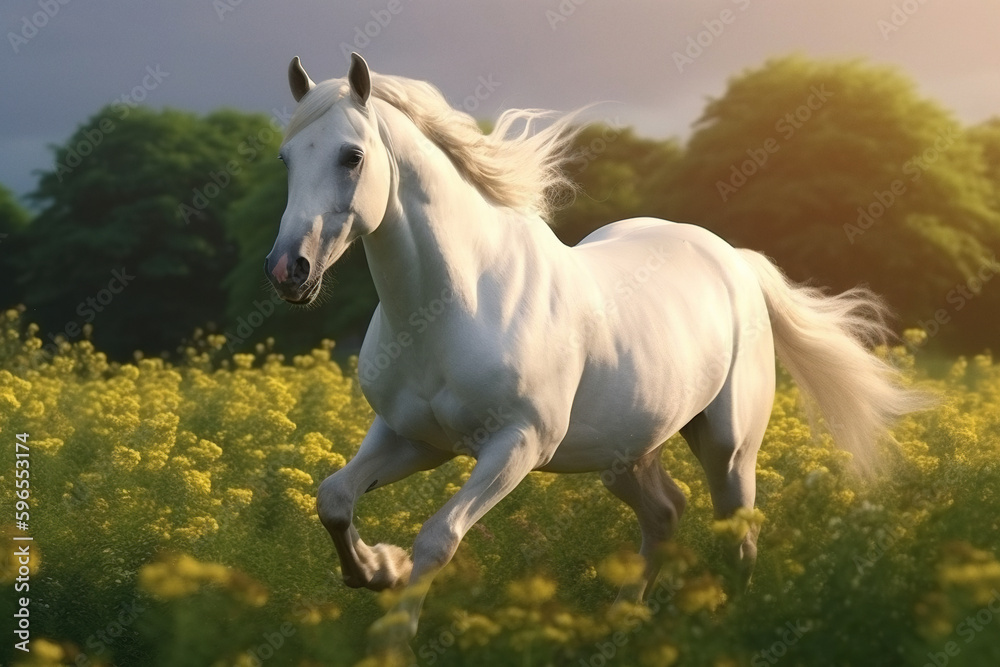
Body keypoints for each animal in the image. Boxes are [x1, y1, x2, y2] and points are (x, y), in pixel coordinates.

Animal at [264, 53, 927, 650]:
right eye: (286, 158)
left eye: (352, 156)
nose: (288, 271)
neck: (453, 307)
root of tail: (735, 260)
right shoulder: (412, 439)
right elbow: (333, 499)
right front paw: (379, 568)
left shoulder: (517, 444)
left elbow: (437, 538)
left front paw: (393, 632)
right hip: (625, 453)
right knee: (665, 514)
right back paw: (620, 624)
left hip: (729, 448)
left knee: (737, 532)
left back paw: (728, 630)